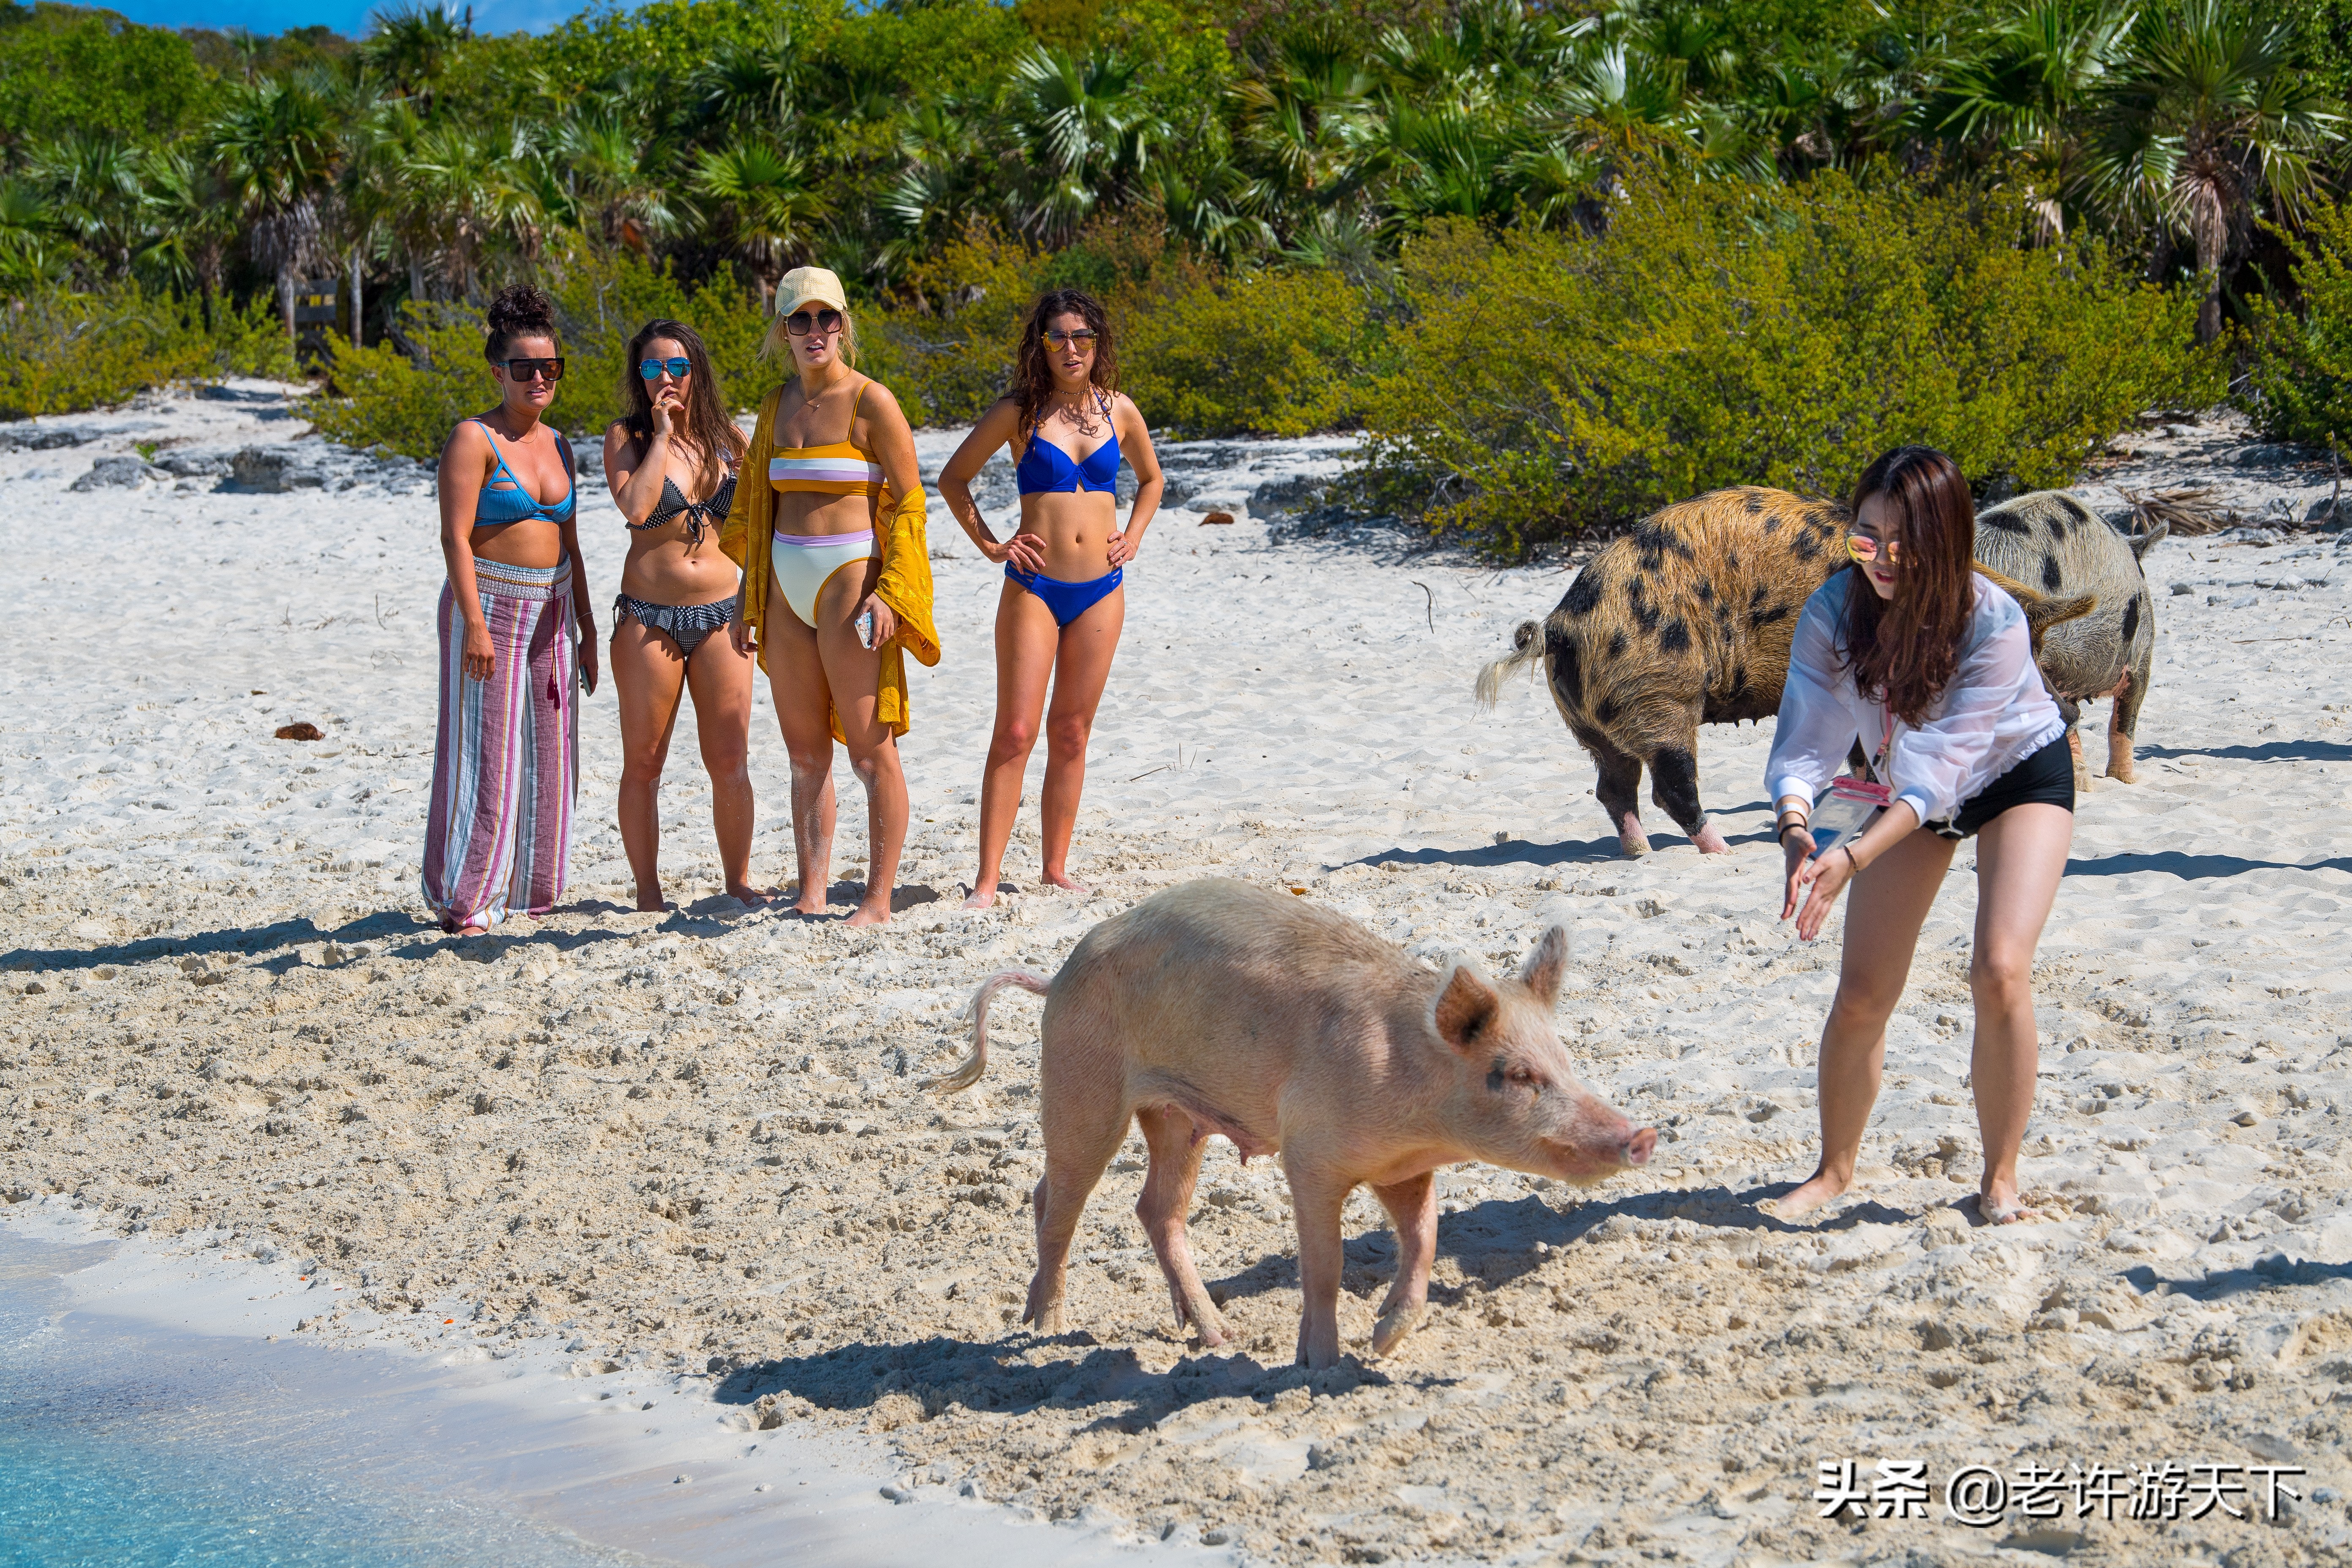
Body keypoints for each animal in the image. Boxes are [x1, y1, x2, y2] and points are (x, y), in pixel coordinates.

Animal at [917, 884, 1655, 1373]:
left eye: (1566, 1062)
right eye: (1517, 1074)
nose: (1642, 1136)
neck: (1413, 1102)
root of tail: (1059, 973)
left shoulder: (1406, 1169)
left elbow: (1424, 1241)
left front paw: (1383, 1343)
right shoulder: (1311, 1156)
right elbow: (1325, 1266)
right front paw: (1321, 1368)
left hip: (1178, 1117)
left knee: (1152, 1208)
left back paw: (1217, 1337)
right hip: (1083, 1087)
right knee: (1059, 1202)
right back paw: (1046, 1331)